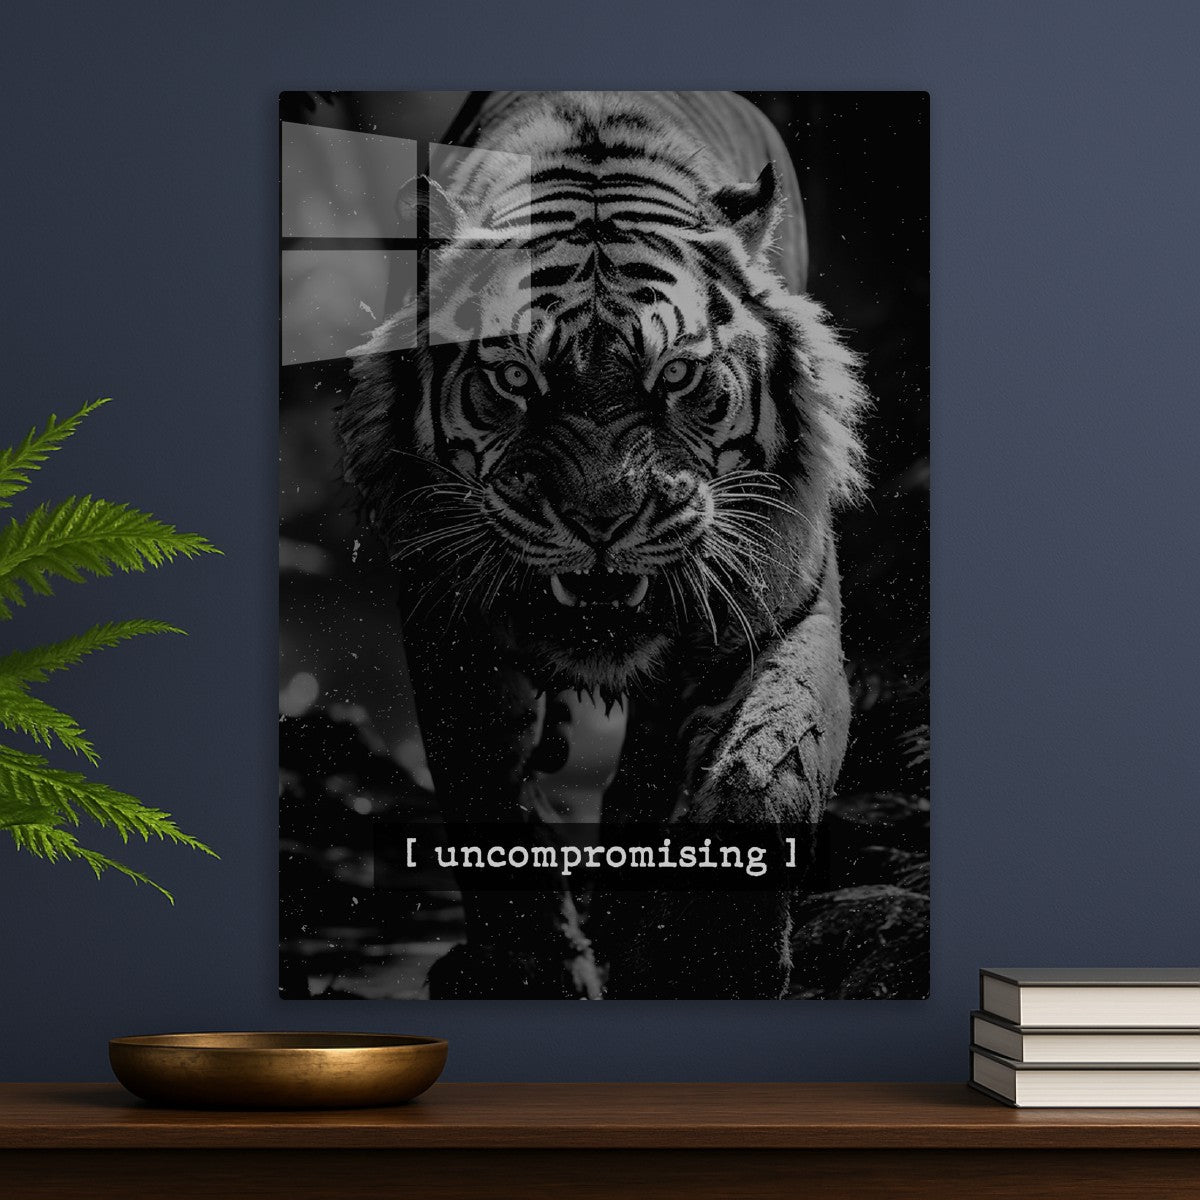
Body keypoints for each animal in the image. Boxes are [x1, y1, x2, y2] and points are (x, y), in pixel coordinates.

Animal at [339, 91, 868, 999]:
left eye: (679, 376)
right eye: (515, 378)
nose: (601, 521)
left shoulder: (781, 612)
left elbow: (763, 774)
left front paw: (718, 957)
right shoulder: (449, 627)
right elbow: (486, 797)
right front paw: (531, 971)